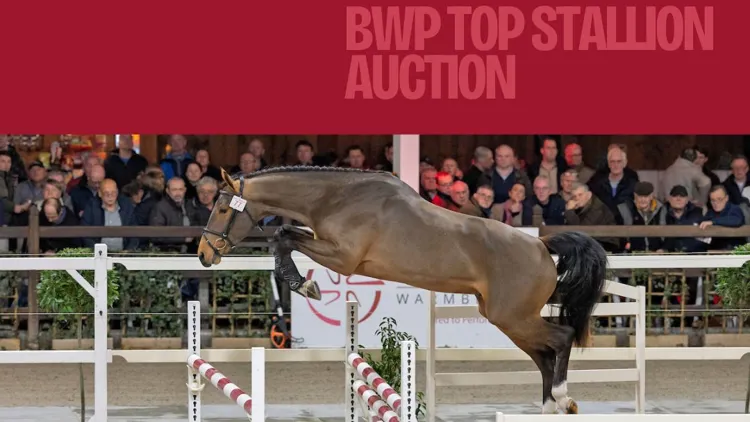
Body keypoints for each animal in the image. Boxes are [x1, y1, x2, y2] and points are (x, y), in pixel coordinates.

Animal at [197, 166, 608, 415]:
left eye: (222, 209)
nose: (204, 254)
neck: (336, 198)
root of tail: (541, 245)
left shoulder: (343, 258)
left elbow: (283, 237)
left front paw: (306, 284)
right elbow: (284, 235)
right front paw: (303, 282)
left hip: (514, 317)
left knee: (561, 338)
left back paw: (561, 397)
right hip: (507, 320)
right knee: (544, 355)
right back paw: (553, 406)